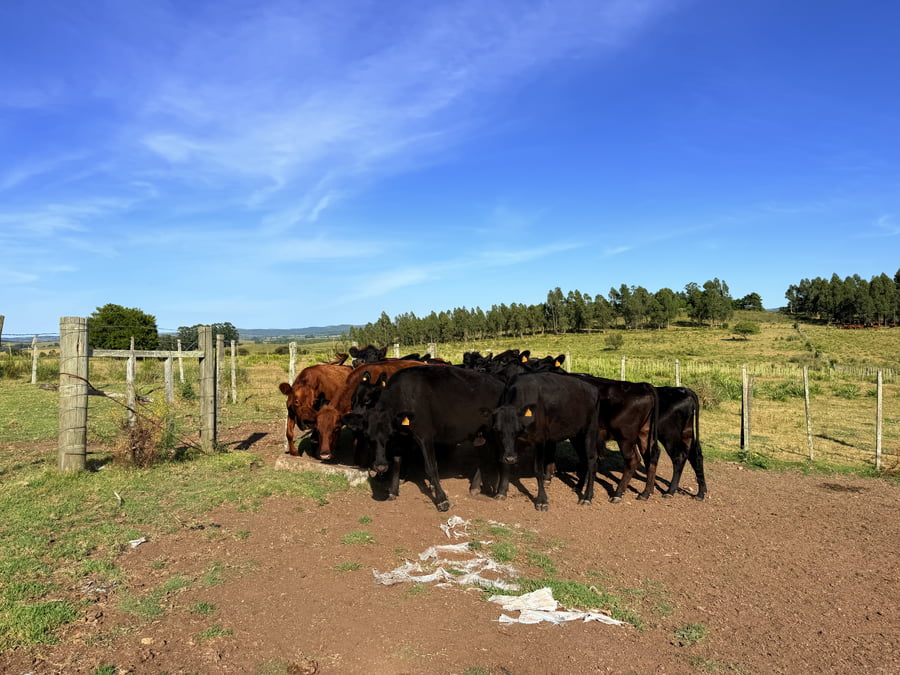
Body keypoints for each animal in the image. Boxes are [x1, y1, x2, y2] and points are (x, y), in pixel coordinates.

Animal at [343, 365, 506, 511]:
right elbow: (397, 463)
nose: (380, 466)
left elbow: (431, 467)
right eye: (367, 436)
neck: (406, 397)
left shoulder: (425, 436)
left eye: (389, 435)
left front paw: (442, 500)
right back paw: (475, 487)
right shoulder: (401, 439)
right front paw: (393, 492)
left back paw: (501, 491)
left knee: (502, 458)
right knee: (484, 457)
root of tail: (500, 383)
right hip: (481, 435)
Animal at [491, 371, 601, 510]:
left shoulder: (540, 439)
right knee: (583, 459)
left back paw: (587, 497)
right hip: (576, 435)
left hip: (590, 431)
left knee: (592, 461)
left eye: (517, 429)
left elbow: (538, 470)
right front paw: (501, 492)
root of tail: (593, 389)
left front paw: (542, 500)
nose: (510, 458)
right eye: (497, 430)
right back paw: (578, 487)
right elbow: (503, 464)